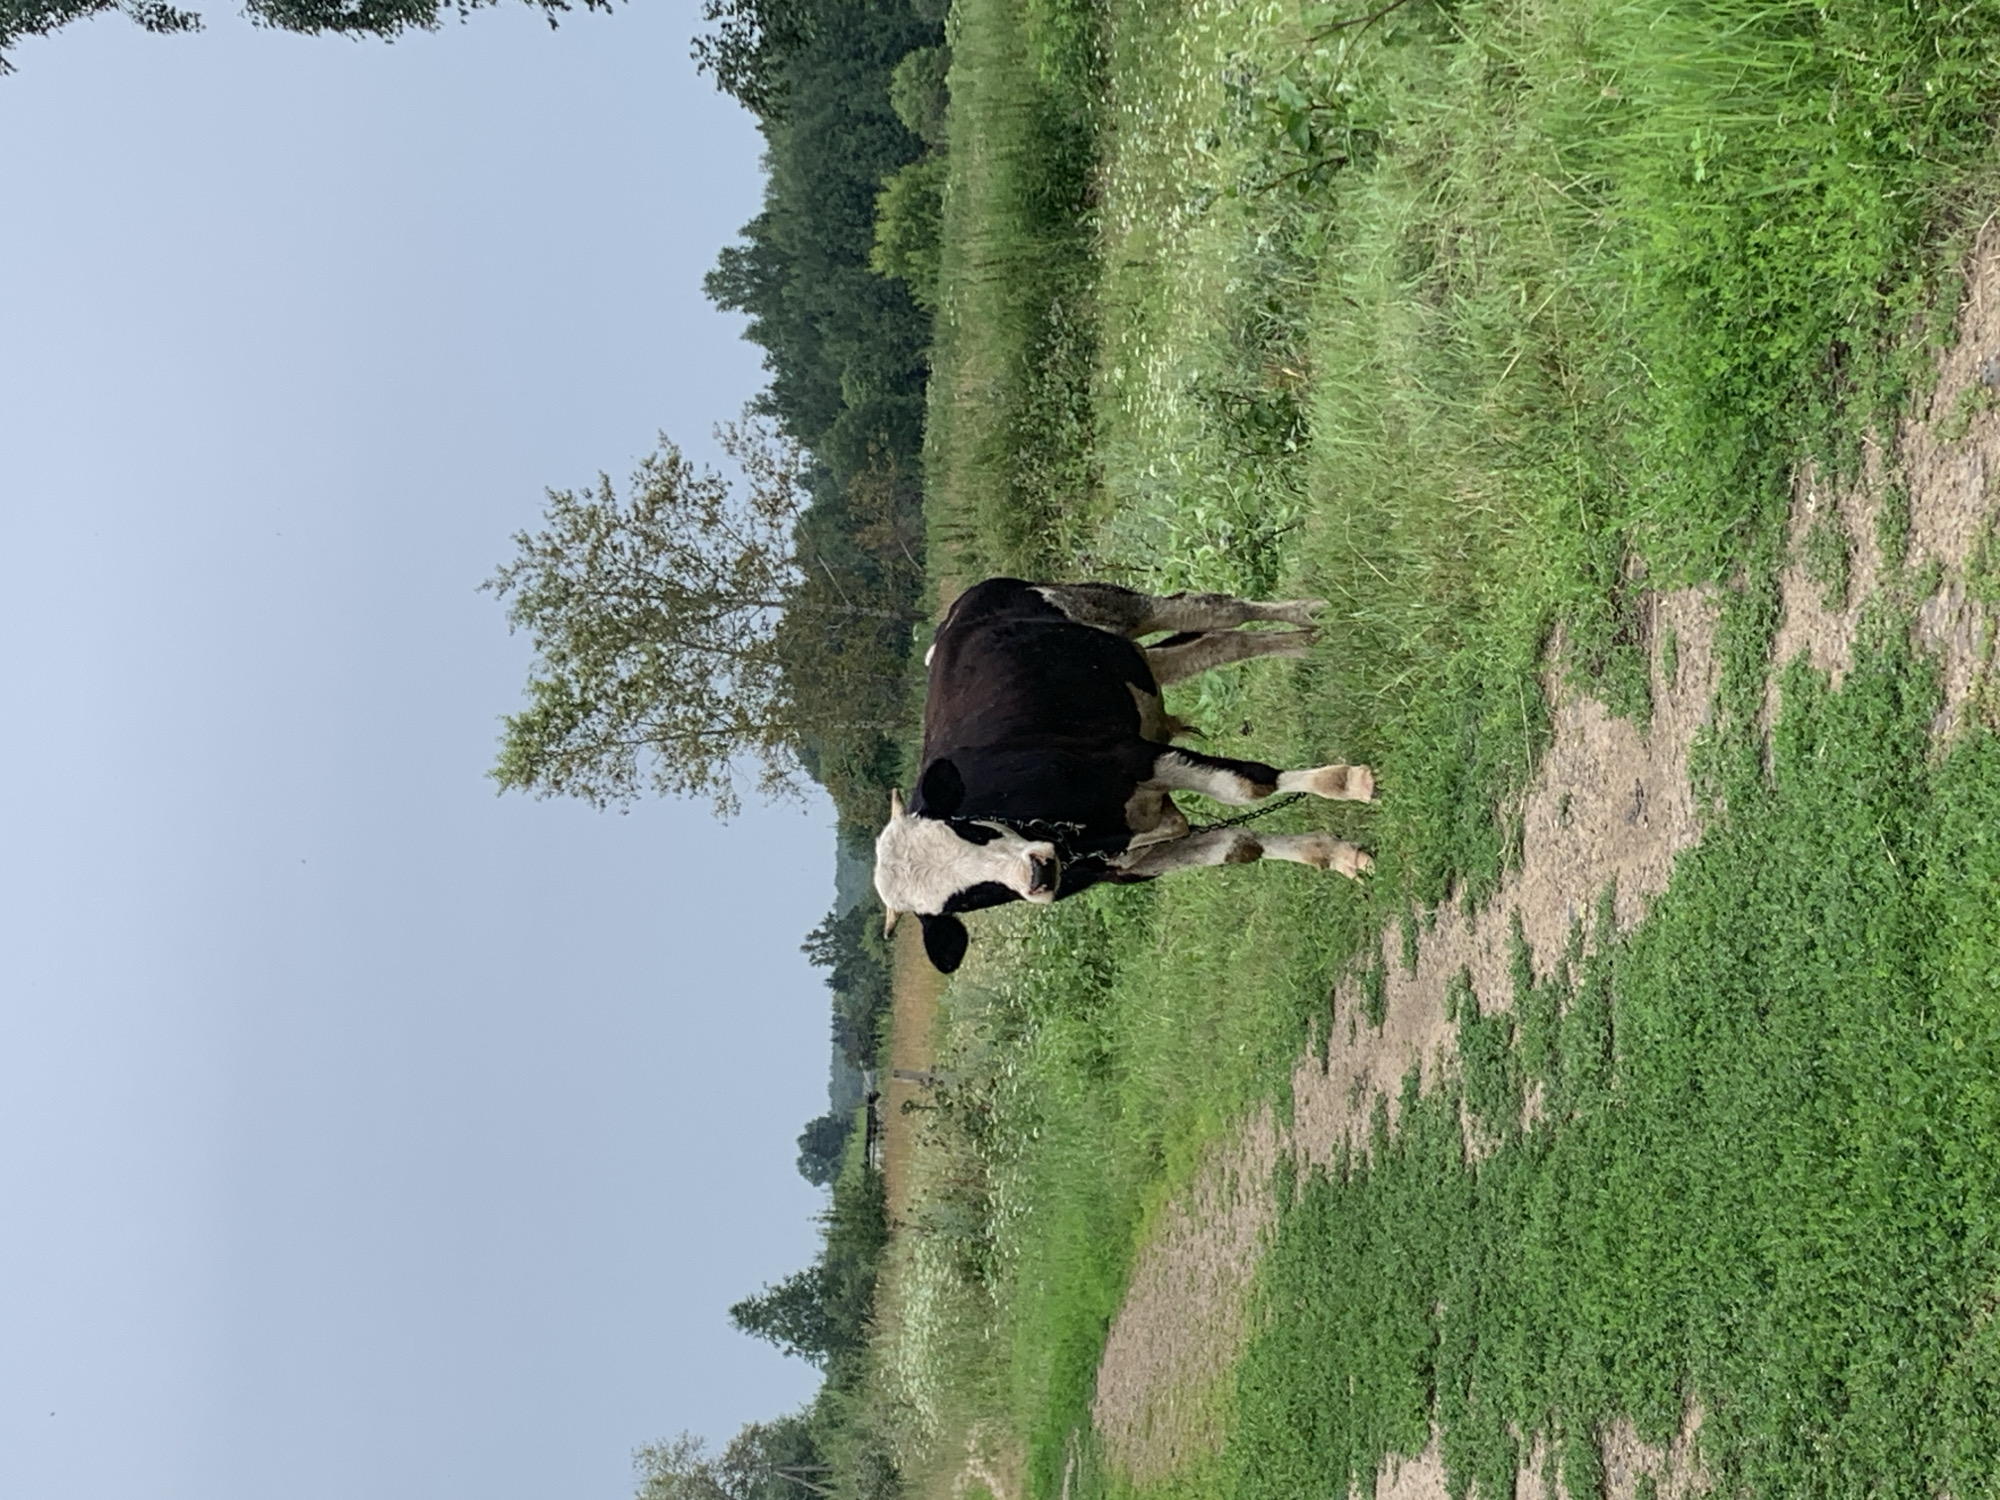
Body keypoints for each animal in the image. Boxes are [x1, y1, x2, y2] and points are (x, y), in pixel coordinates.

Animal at [875, 578, 1376, 974]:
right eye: (961, 900)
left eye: (969, 829)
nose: (1038, 872)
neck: (1074, 835)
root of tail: (953, 618)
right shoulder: (1133, 864)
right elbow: (1240, 846)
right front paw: (1334, 854)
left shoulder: (1132, 756)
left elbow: (1246, 785)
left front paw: (1347, 782)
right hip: (1135, 663)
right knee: (1214, 645)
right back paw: (1307, 640)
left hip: (1114, 607)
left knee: (1212, 608)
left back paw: (1310, 612)